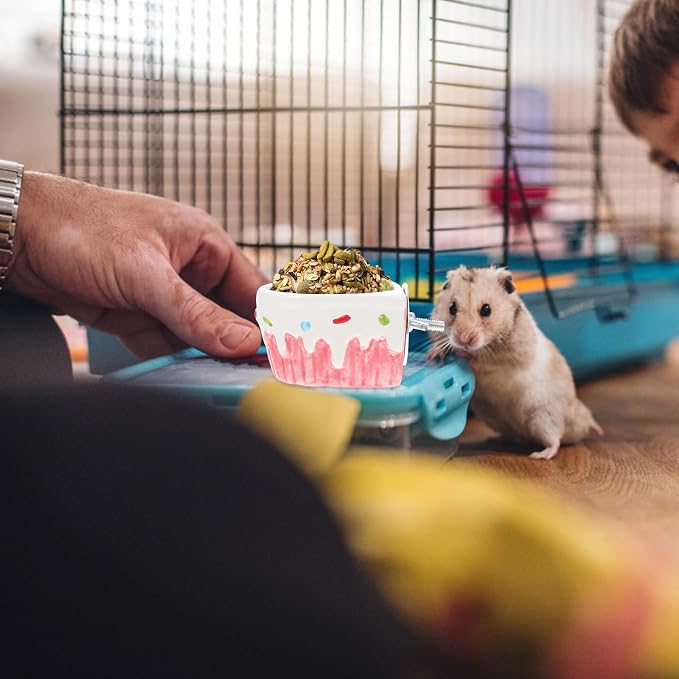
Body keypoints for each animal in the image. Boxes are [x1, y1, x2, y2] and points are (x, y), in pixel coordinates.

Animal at [428, 265, 602, 459]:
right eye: (452, 308)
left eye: (486, 309)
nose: (464, 339)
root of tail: (582, 420)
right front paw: (434, 354)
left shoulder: (508, 355)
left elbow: (482, 360)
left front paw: (462, 353)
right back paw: (496, 440)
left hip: (544, 417)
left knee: (555, 439)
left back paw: (539, 455)